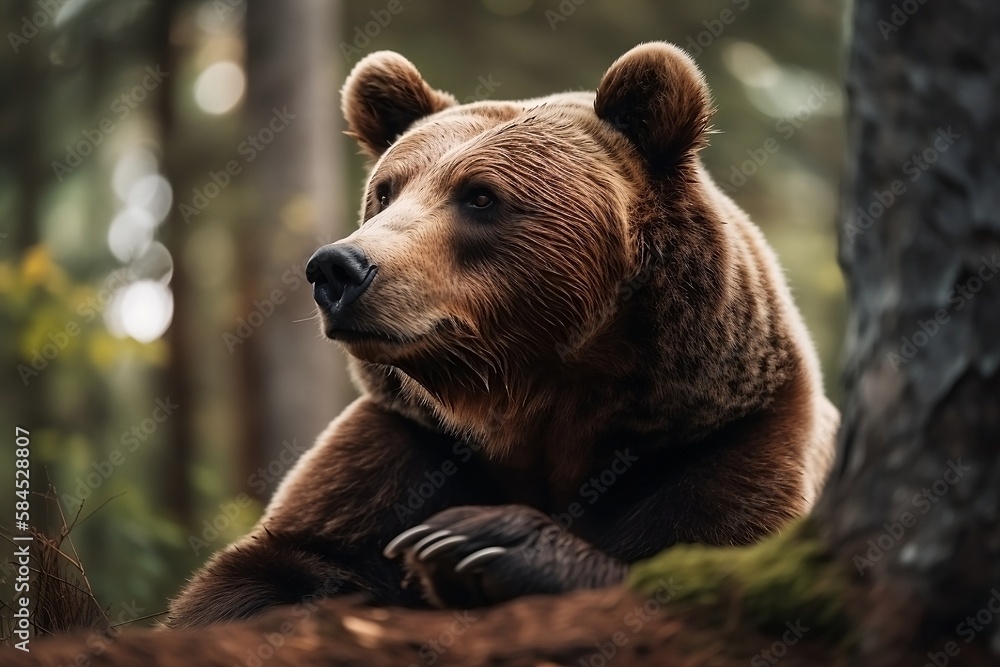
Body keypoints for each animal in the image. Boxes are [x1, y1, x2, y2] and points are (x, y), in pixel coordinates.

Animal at [166, 42, 838, 629]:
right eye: (385, 191)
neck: (534, 402)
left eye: (480, 196)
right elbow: (264, 574)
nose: (338, 269)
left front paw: (478, 544)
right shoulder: (406, 447)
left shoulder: (718, 441)